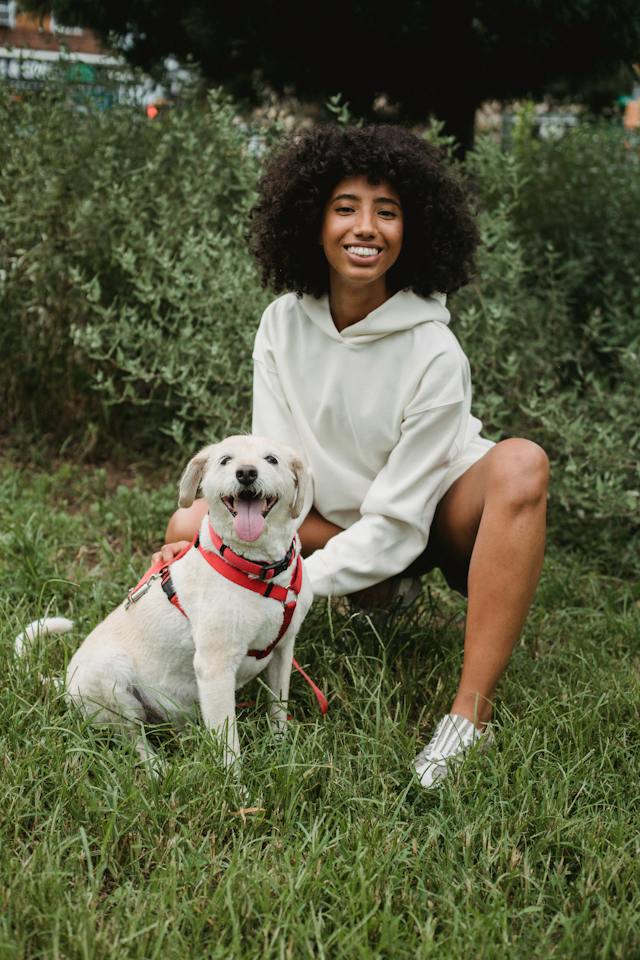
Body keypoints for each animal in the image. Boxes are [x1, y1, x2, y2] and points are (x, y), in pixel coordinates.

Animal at [13, 436, 314, 772]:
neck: (260, 570)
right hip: (112, 681)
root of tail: (64, 682)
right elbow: (228, 743)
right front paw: (235, 784)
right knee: (134, 739)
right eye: (225, 460)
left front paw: (282, 751)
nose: (246, 473)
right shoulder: (215, 668)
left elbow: (278, 708)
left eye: (271, 459)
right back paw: (158, 769)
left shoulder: (282, 650)